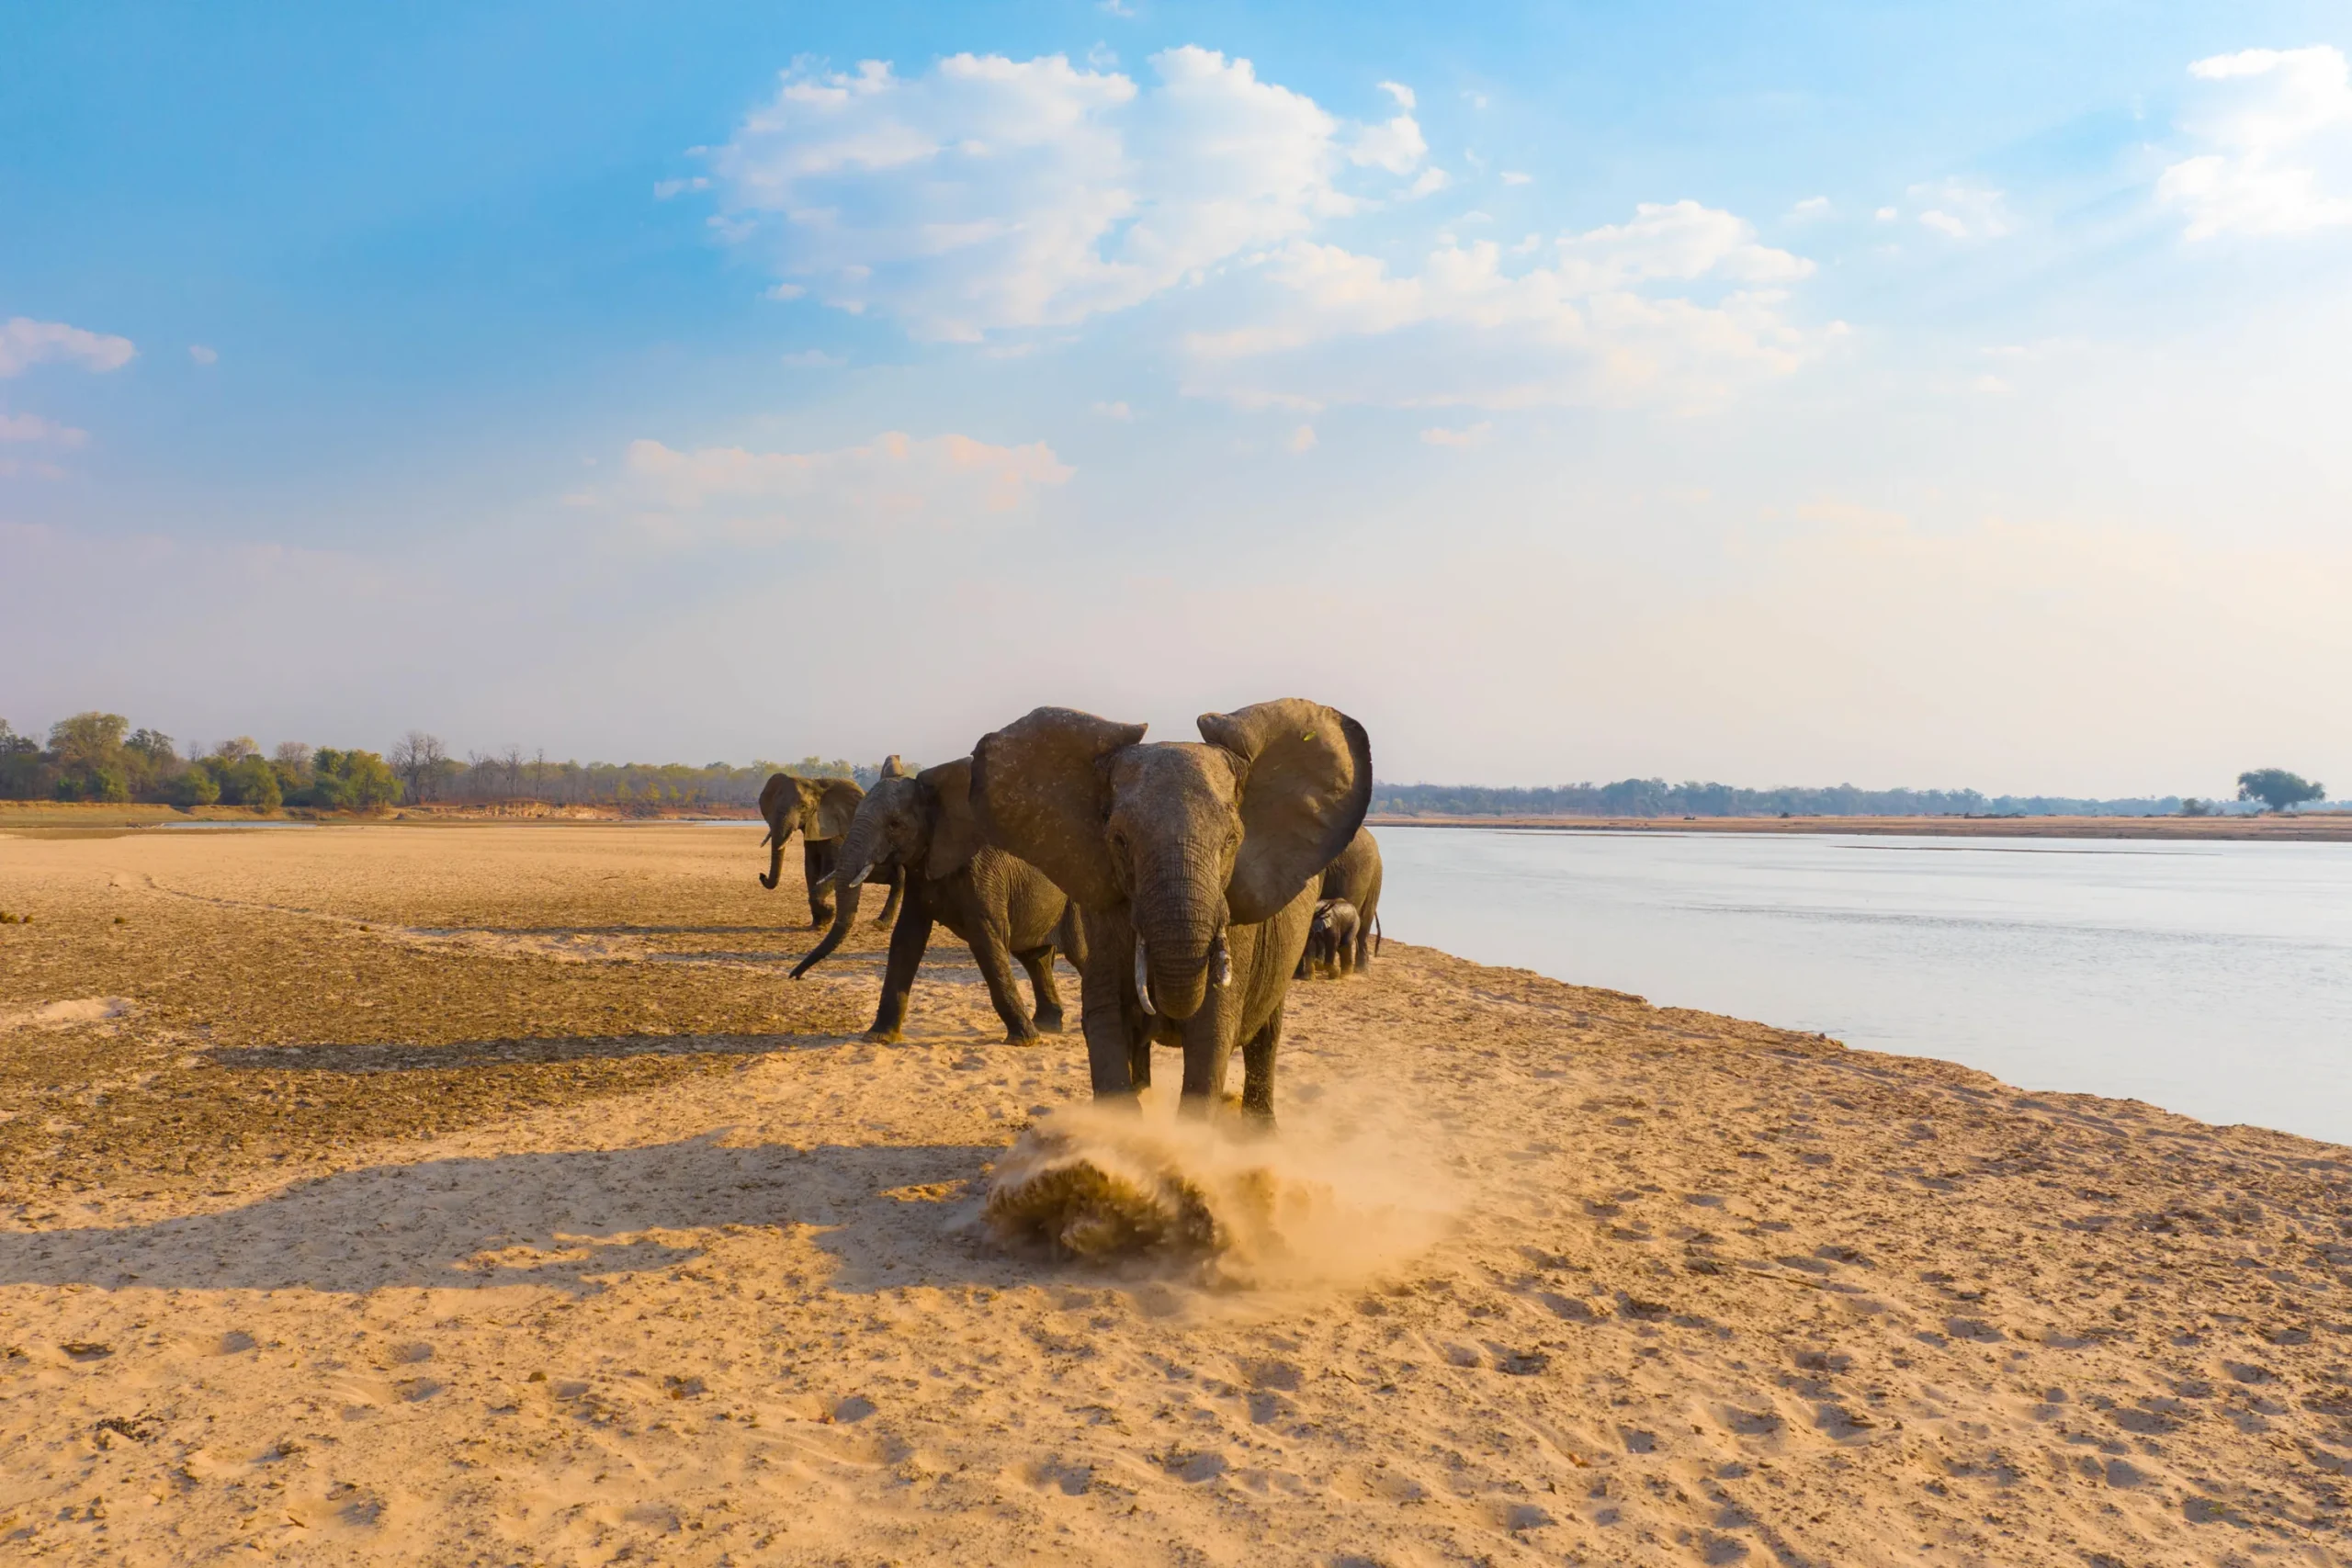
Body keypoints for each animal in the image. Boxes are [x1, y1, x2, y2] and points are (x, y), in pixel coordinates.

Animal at [756, 771, 904, 930]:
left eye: (803, 807)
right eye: (772, 807)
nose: (762, 875)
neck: (817, 784)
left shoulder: (838, 832)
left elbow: (832, 868)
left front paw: (829, 913)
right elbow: (810, 869)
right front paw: (819, 924)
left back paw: (881, 924)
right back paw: (881, 923)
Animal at [789, 758, 1085, 1046]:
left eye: (895, 825)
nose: (794, 977)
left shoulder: (984, 872)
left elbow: (987, 940)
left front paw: (1023, 1041)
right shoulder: (920, 870)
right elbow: (906, 938)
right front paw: (878, 1037)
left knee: (1080, 956)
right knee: (1035, 960)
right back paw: (1047, 1026)